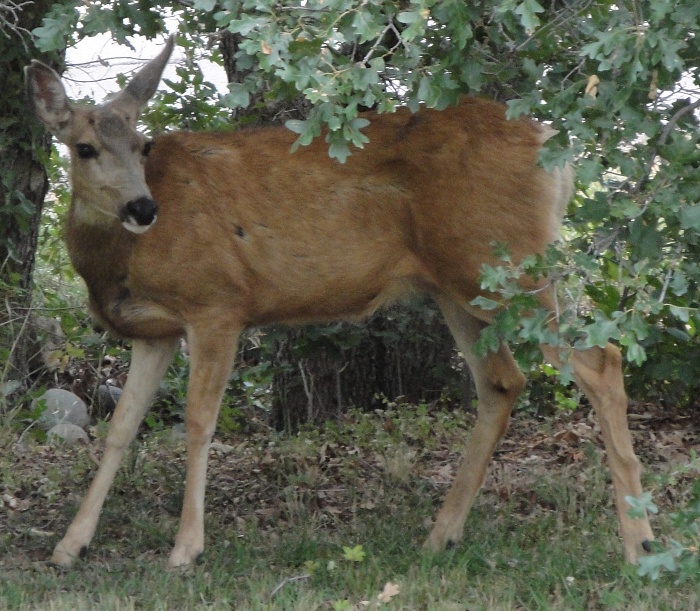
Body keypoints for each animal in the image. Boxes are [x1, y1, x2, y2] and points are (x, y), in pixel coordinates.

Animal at [24, 35, 652, 568]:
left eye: (142, 144)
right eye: (85, 148)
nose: (142, 207)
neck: (120, 263)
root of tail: (554, 146)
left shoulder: (218, 302)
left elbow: (199, 421)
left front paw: (186, 550)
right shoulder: (155, 331)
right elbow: (121, 429)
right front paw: (70, 546)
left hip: (507, 268)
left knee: (603, 361)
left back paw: (638, 543)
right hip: (459, 286)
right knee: (502, 382)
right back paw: (439, 537)